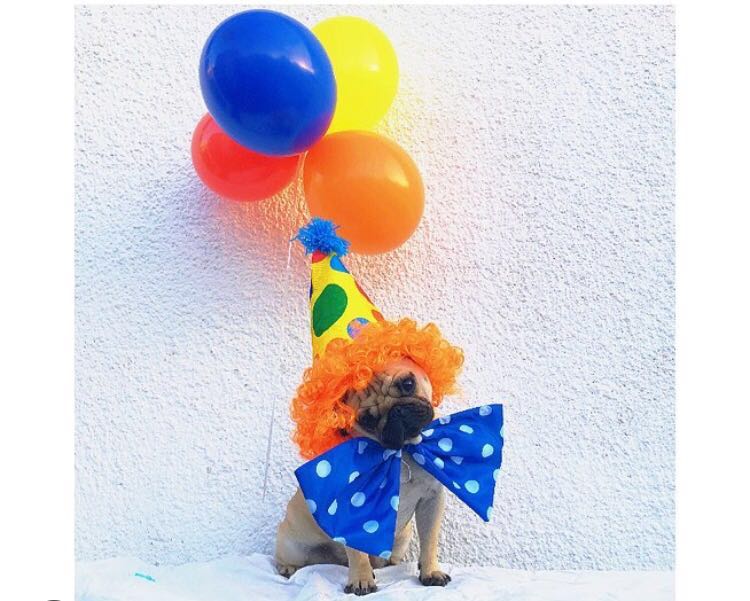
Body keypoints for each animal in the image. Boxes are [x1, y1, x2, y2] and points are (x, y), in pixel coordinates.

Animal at [275, 357, 452, 595]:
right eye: (367, 420)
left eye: (408, 384)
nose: (396, 411)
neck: (400, 452)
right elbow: (358, 554)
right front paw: (361, 580)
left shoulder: (432, 500)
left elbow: (430, 541)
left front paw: (431, 571)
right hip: (291, 544)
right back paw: (288, 568)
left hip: (402, 539)